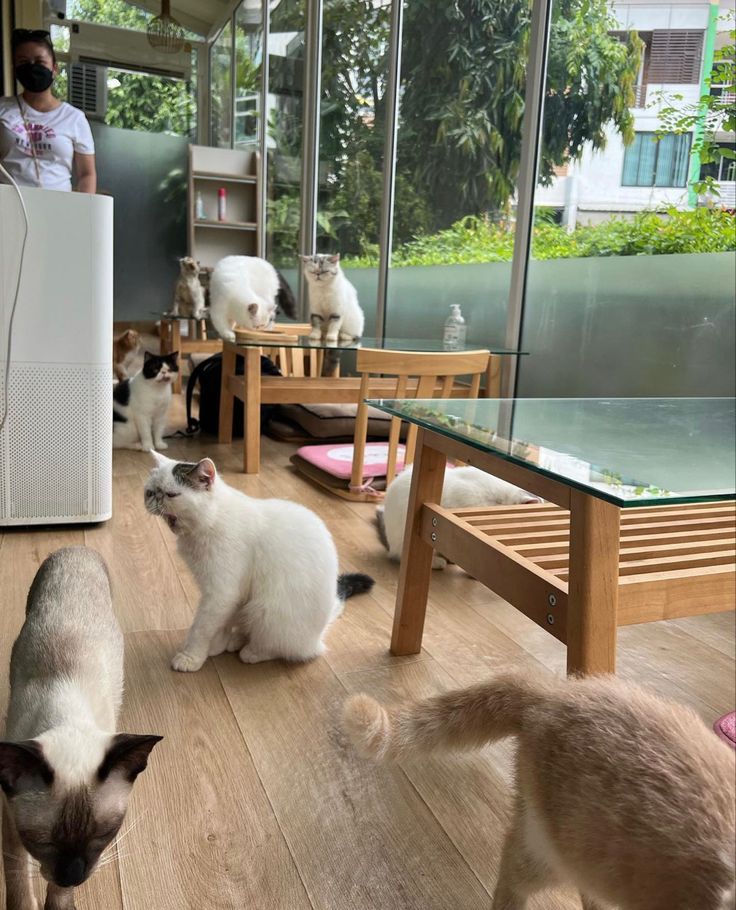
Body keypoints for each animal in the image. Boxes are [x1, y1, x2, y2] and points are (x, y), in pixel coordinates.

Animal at [0, 548, 161, 910]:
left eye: (103, 835)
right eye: (42, 842)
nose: (73, 875)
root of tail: (75, 548)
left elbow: (58, 895)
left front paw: (61, 903)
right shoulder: (11, 826)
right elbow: (18, 882)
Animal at [144, 454, 374, 672]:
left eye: (171, 494)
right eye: (150, 492)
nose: (155, 498)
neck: (210, 521)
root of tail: (319, 633)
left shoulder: (221, 593)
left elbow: (200, 629)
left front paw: (191, 657)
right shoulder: (228, 596)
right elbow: (220, 624)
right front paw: (217, 646)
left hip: (266, 611)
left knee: (288, 649)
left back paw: (252, 652)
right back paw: (236, 641)